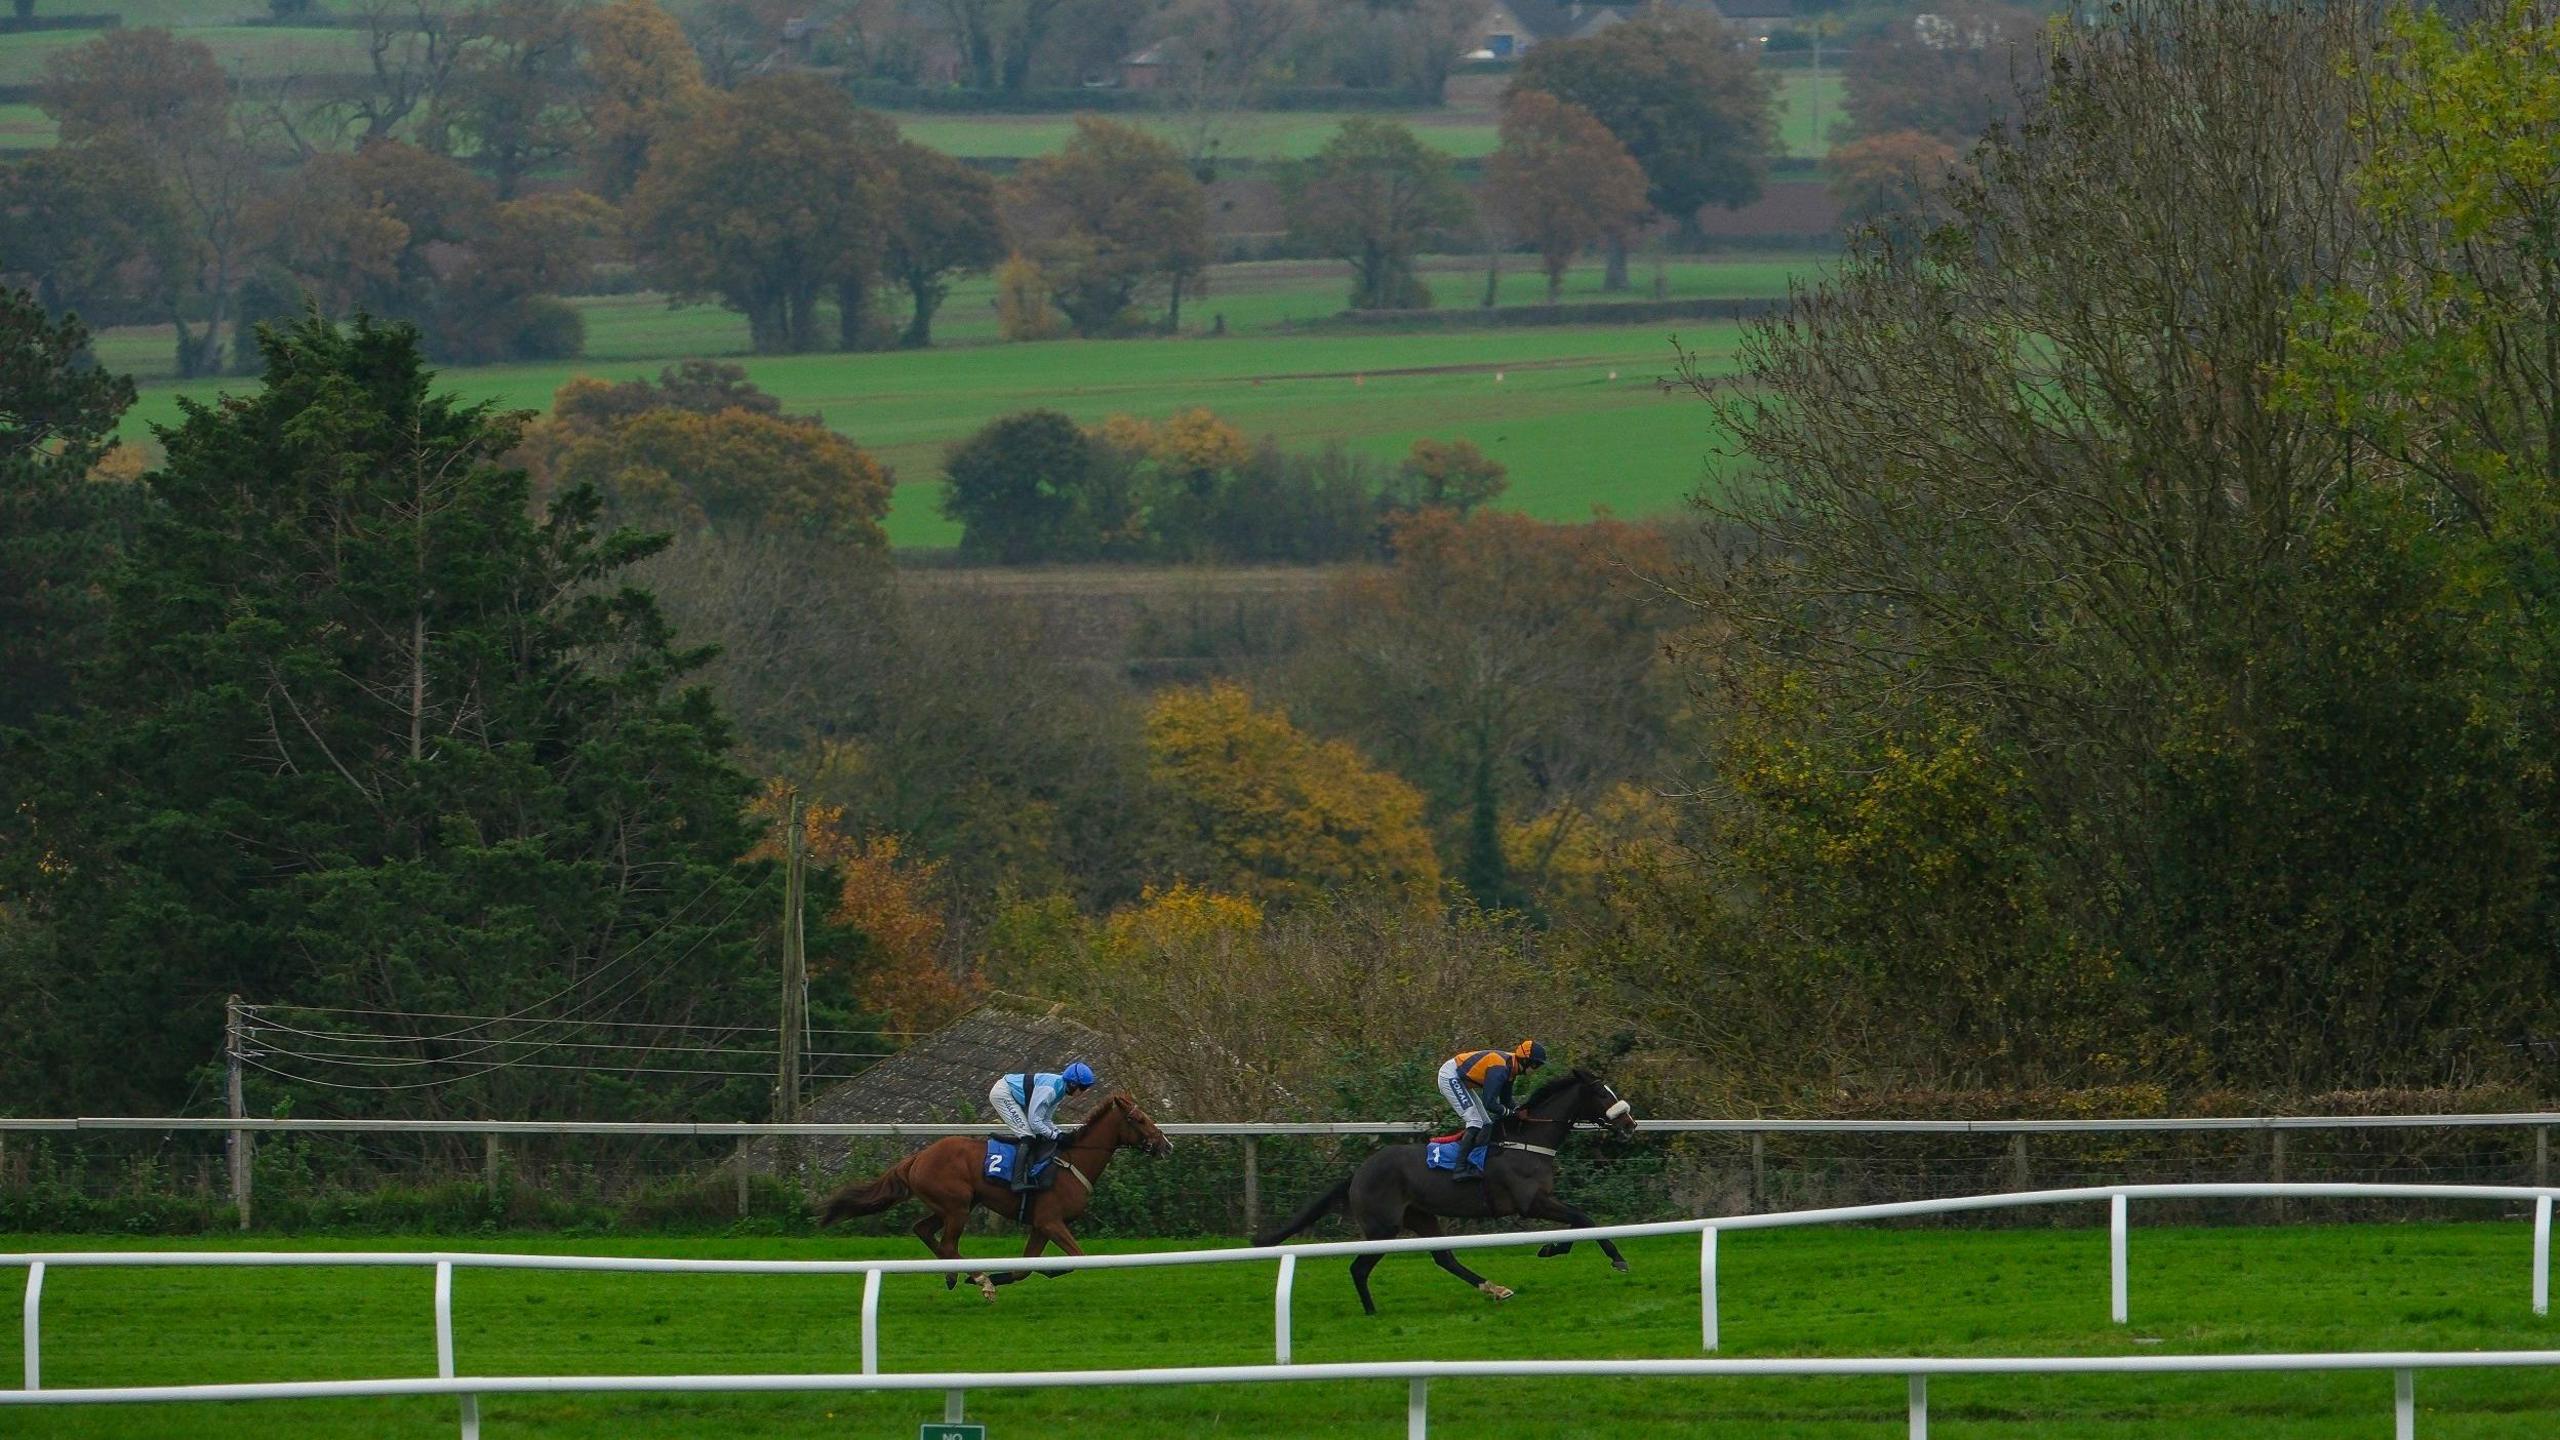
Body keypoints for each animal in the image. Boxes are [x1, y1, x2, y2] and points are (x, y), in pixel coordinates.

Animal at [814, 1086, 1172, 1301]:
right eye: (1139, 1119)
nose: (1166, 1144)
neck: (1072, 1160)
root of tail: (917, 1157)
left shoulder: (1040, 1225)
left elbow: (1023, 1268)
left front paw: (1009, 1274)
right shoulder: (1051, 1221)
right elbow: (1076, 1259)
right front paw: (1018, 1274)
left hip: (955, 1205)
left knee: (923, 1230)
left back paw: (956, 1276)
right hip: (957, 1207)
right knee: (948, 1244)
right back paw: (978, 1278)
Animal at [1254, 1065, 1638, 1311]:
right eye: (1602, 1093)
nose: (1630, 1124)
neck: (1528, 1140)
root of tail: (1359, 1173)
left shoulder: (1540, 1201)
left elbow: (1578, 1222)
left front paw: (1553, 1247)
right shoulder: (1531, 1202)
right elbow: (1584, 1219)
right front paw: (1611, 1259)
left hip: (1421, 1216)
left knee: (1444, 1257)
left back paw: (1494, 1289)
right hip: (1383, 1226)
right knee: (1359, 1268)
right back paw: (1371, 1312)